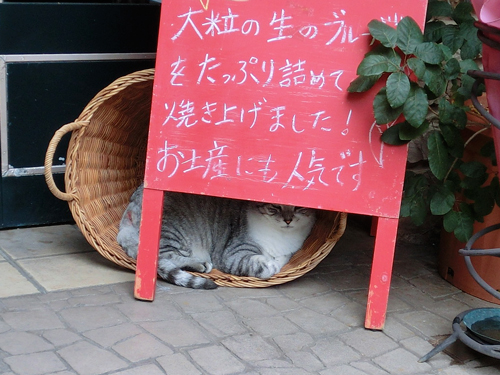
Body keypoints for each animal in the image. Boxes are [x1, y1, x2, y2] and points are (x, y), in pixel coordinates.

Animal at [116, 186, 316, 290]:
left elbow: (283, 258)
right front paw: (270, 264)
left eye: (299, 207)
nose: (288, 220)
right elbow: (263, 266)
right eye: (275, 206)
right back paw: (201, 264)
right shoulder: (233, 254)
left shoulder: (290, 251)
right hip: (170, 231)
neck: (282, 235)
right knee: (163, 256)